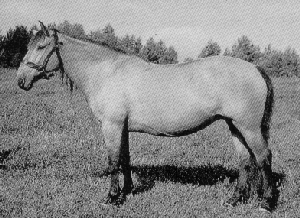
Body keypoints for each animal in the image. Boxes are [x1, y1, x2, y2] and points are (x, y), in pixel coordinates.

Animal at [15, 23, 274, 212]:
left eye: (41, 46)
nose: (20, 80)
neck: (106, 73)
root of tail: (255, 69)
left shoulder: (111, 126)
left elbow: (113, 162)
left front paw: (111, 198)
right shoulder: (122, 128)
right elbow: (124, 159)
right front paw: (127, 191)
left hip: (248, 127)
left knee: (263, 158)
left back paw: (266, 203)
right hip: (234, 126)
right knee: (245, 161)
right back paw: (235, 199)